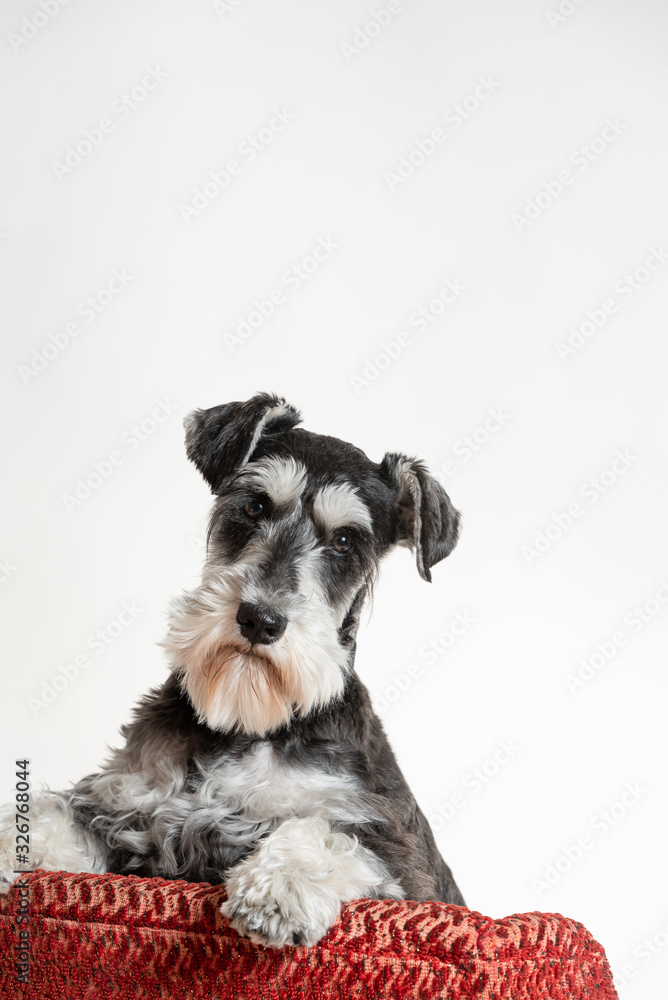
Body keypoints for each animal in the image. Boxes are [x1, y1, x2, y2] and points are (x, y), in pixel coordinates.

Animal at [0, 390, 468, 944]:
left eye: (345, 542)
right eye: (254, 505)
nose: (260, 619)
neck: (248, 725)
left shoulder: (400, 860)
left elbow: (327, 832)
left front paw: (279, 887)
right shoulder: (122, 805)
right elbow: (49, 811)